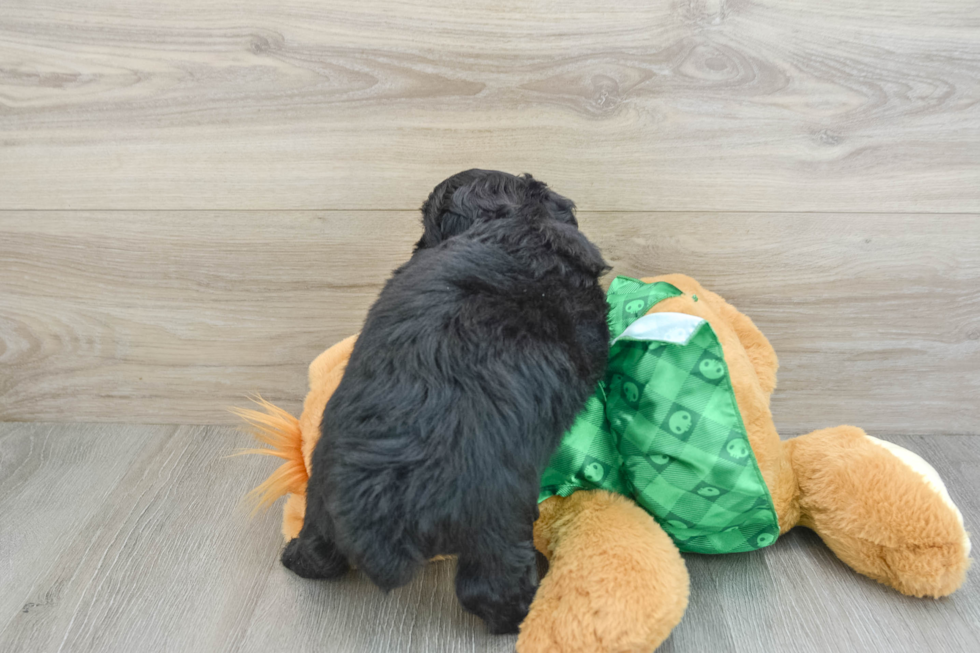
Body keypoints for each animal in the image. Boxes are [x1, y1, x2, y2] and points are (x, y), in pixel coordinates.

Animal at [280, 168, 608, 632]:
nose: (417, 248)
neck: (515, 221)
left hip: (321, 494)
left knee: (318, 544)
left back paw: (296, 557)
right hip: (499, 524)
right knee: (487, 587)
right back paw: (520, 612)